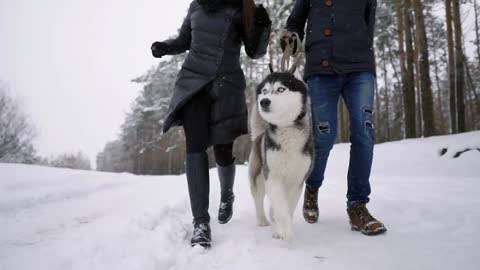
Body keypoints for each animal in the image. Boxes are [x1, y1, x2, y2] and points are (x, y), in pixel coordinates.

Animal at [248, 71, 316, 240]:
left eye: (280, 89)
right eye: (264, 91)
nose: (264, 102)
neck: (287, 130)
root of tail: (259, 135)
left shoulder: (297, 180)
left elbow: (288, 206)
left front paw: (281, 228)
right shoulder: (273, 177)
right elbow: (280, 205)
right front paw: (284, 230)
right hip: (258, 178)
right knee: (258, 200)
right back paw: (262, 220)